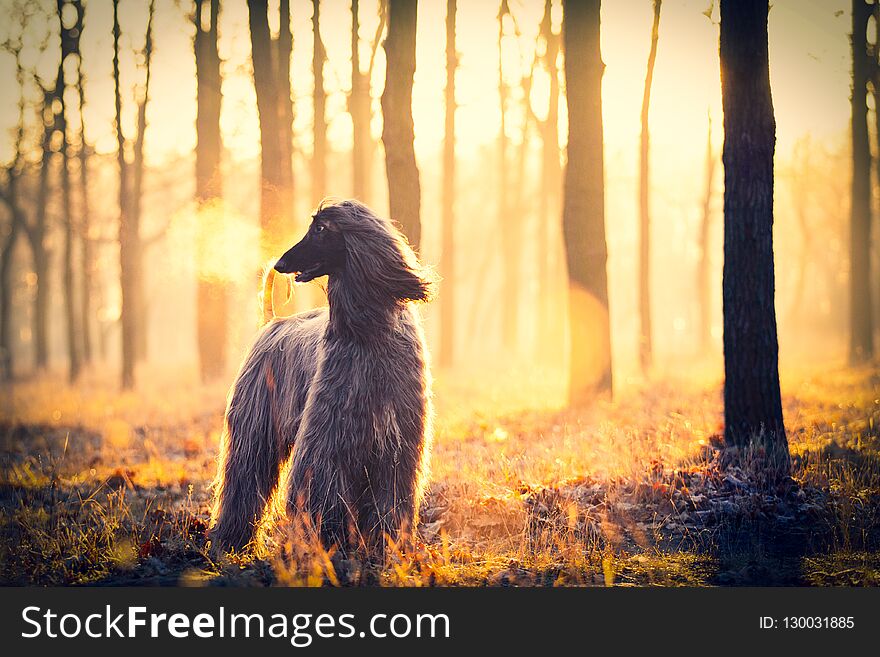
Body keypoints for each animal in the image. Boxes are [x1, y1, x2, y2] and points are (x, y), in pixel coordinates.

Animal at [211, 199, 436, 552]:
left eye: (320, 229)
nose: (280, 263)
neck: (369, 335)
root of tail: (273, 322)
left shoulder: (396, 446)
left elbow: (389, 499)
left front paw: (385, 544)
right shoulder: (329, 437)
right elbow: (323, 490)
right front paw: (329, 542)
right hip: (254, 424)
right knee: (243, 480)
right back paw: (231, 540)